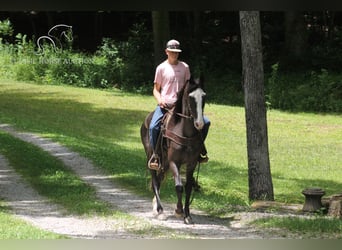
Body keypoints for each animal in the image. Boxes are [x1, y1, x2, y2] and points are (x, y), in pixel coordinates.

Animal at [140, 76, 206, 225]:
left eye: (204, 96)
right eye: (190, 97)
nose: (199, 124)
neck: (185, 132)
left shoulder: (191, 163)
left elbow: (188, 187)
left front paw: (187, 214)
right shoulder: (174, 162)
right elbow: (179, 186)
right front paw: (179, 210)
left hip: (164, 163)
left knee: (158, 181)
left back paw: (156, 206)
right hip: (152, 158)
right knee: (155, 180)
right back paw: (159, 211)